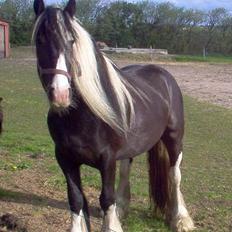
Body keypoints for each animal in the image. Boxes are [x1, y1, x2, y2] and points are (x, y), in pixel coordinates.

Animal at [32, 0, 196, 231]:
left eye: (72, 41)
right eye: (40, 40)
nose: (61, 94)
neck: (83, 116)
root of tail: (164, 75)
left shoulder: (107, 159)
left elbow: (106, 198)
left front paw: (111, 225)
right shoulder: (65, 159)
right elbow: (75, 199)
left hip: (174, 139)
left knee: (175, 175)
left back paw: (181, 218)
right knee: (126, 169)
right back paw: (122, 208)